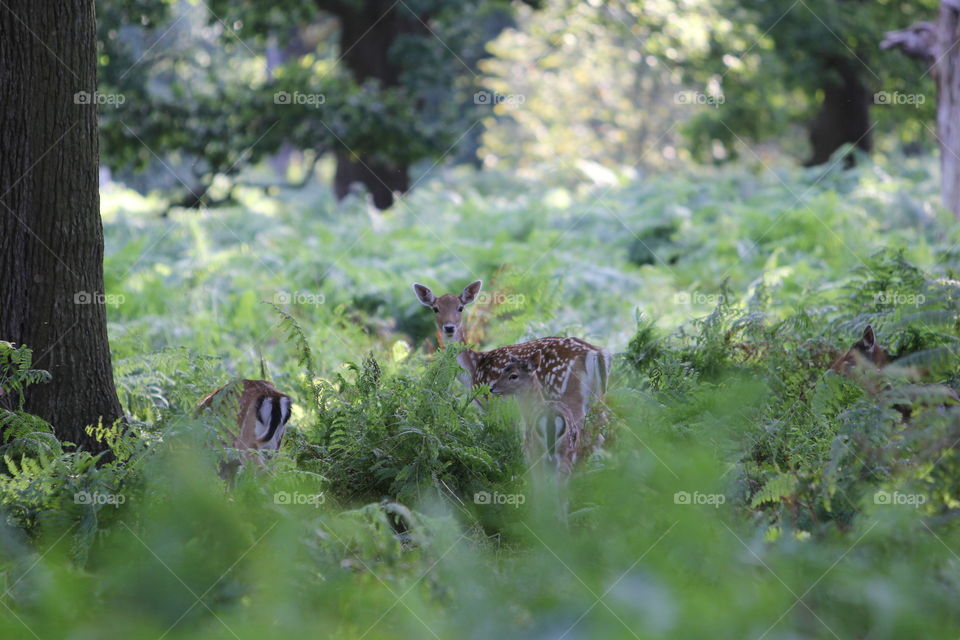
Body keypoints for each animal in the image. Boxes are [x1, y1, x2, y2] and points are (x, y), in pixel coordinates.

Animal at [410, 280, 608, 440]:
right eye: (435, 308)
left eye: (460, 307)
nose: (449, 327)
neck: (473, 369)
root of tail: (596, 353)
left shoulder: (491, 401)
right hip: (597, 398)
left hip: (565, 392)